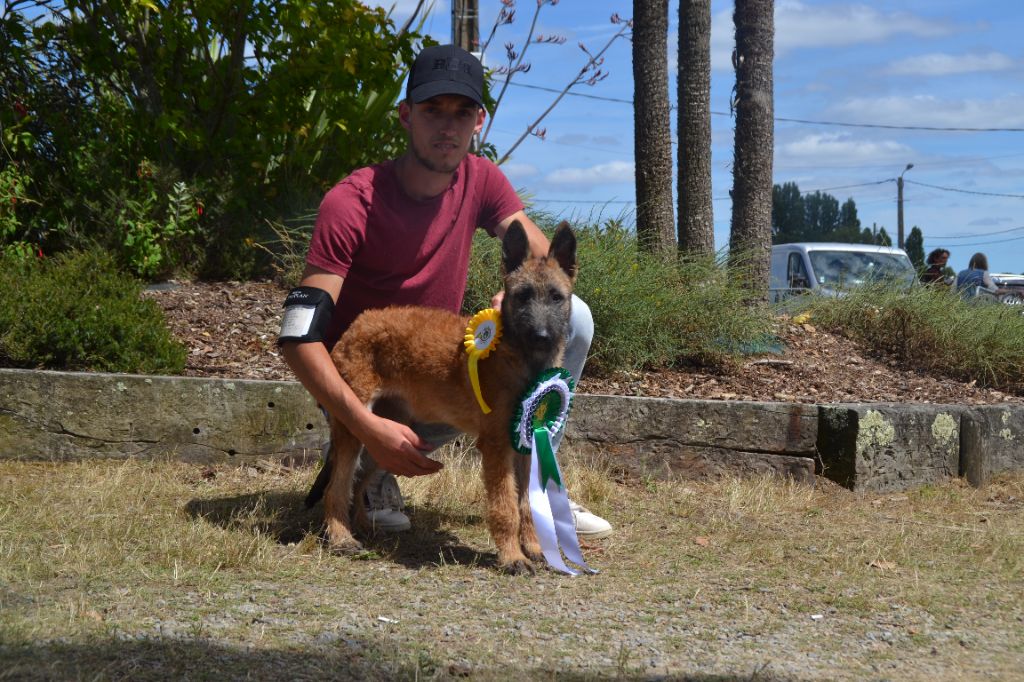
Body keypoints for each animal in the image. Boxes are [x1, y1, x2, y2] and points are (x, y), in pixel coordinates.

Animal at [304, 220, 578, 574]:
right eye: (523, 296)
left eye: (557, 297)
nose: (541, 336)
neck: (518, 357)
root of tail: (357, 325)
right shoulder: (496, 446)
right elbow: (506, 506)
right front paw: (512, 557)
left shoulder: (527, 442)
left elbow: (527, 504)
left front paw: (533, 548)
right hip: (356, 427)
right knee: (337, 487)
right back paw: (341, 537)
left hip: (387, 437)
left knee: (359, 479)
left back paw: (363, 524)